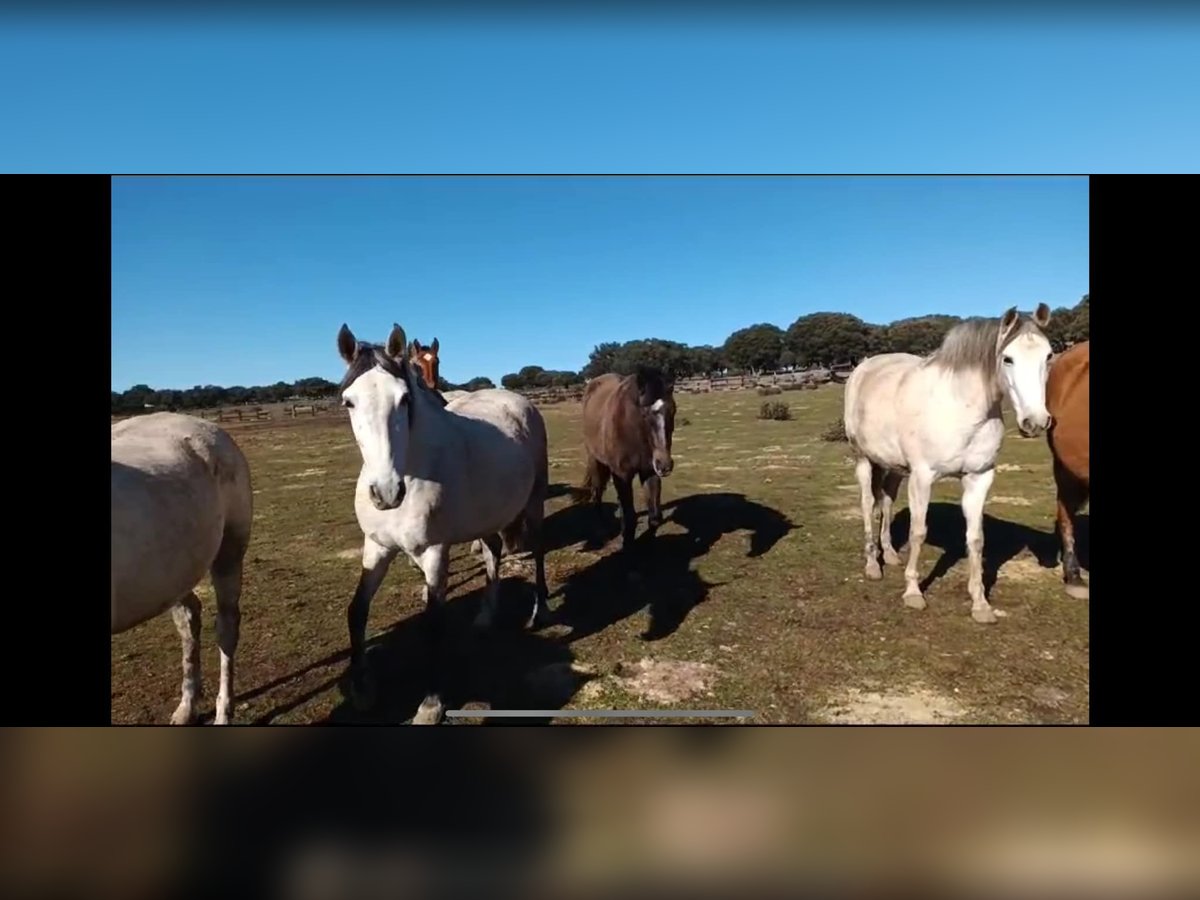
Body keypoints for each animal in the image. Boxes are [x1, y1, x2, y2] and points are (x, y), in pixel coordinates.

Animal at [112, 415, 253, 724]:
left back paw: (223, 712)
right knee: (189, 618)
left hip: (229, 552)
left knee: (226, 627)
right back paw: (187, 706)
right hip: (174, 574)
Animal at [338, 324, 552, 724]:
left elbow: (434, 625)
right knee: (493, 552)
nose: (386, 492)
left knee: (540, 551)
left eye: (404, 399)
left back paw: (541, 610)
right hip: (489, 514)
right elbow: (356, 611)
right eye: (349, 402)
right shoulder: (377, 547)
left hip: (534, 503)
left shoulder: (434, 554)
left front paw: (431, 704)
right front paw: (362, 690)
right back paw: (485, 616)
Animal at [571, 364, 676, 564]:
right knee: (597, 494)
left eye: (673, 411)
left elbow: (653, 517)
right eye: (644, 413)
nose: (665, 465)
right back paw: (603, 530)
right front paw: (628, 550)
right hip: (596, 461)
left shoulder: (649, 472)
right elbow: (630, 517)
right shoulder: (622, 474)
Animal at [844, 307, 1051, 624]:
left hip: (894, 467)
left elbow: (976, 539)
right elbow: (918, 532)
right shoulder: (922, 477)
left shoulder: (980, 477)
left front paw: (980, 604)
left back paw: (889, 554)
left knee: (887, 502)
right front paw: (913, 592)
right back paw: (872, 565)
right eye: (1008, 358)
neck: (961, 407)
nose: (1036, 422)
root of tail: (864, 368)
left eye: (1048, 356)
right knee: (868, 504)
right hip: (864, 460)